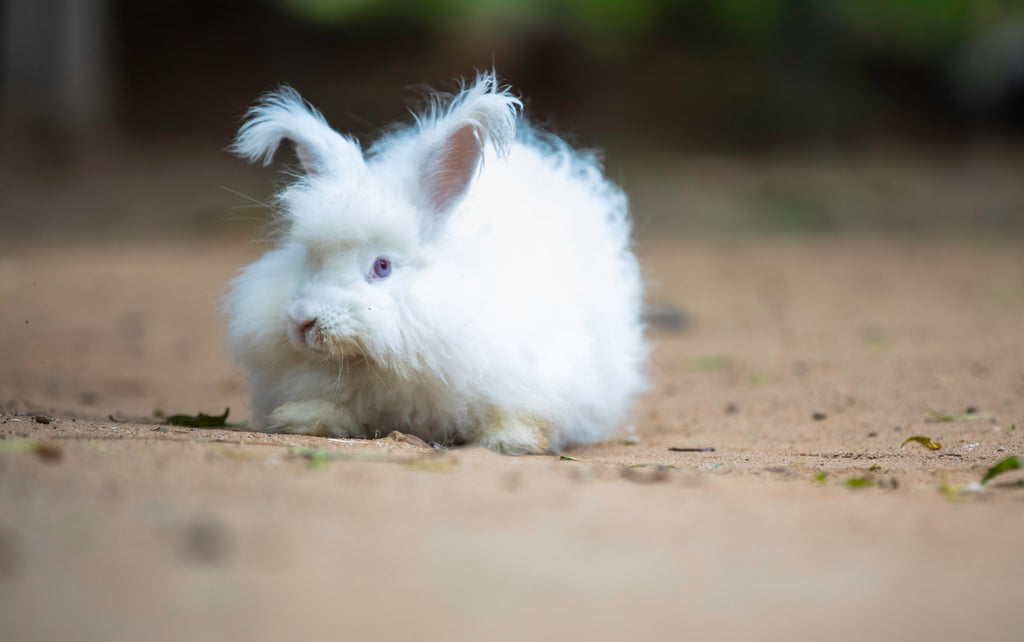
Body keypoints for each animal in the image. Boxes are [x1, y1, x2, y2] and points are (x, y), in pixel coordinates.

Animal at [226, 72, 647, 454]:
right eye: (309, 258)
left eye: (382, 267)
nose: (302, 321)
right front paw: (304, 419)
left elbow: (517, 415)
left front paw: (510, 440)